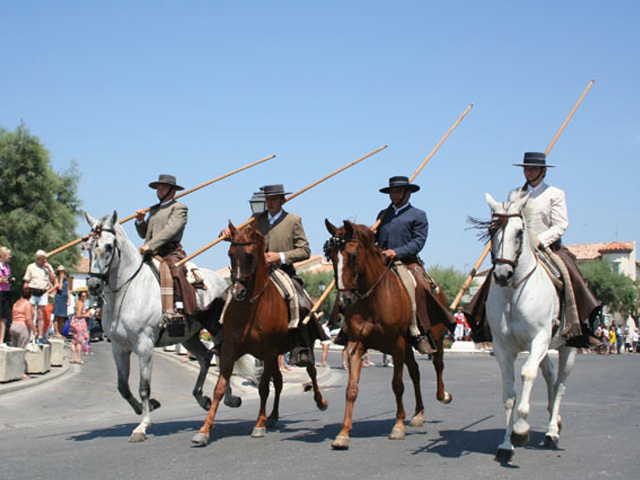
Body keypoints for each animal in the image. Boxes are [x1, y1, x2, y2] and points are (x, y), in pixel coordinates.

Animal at [86, 213, 241, 442]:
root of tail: (223, 282)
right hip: (189, 336)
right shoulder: (118, 347)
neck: (128, 291)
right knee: (205, 358)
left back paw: (229, 398)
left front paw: (142, 426)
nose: (93, 285)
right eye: (88, 246)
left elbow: (144, 387)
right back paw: (202, 397)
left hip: (217, 330)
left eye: (108, 246)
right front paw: (146, 407)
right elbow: (123, 386)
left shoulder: (144, 347)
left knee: (222, 359)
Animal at [192, 221, 328, 446]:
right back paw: (272, 416)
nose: (238, 291)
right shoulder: (230, 351)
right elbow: (220, 388)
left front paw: (258, 425)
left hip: (300, 346)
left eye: (250, 254)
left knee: (312, 372)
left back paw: (320, 401)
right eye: (230, 253)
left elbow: (263, 387)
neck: (251, 308)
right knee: (280, 382)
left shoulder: (268, 351)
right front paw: (204, 430)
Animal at [322, 221, 452, 450]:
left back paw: (443, 395)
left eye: (352, 255)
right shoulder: (356, 344)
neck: (372, 298)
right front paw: (343, 433)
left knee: (438, 364)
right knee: (416, 372)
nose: (344, 301)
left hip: (434, 338)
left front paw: (398, 426)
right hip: (408, 347)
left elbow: (397, 385)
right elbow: (351, 389)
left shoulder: (397, 344)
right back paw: (418, 413)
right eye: (331, 256)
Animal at [484, 193, 576, 464]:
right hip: (545, 349)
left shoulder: (539, 339)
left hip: (567, 347)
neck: (513, 294)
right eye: (491, 230)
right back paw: (553, 420)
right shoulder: (502, 347)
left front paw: (521, 429)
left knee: (561, 384)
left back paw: (552, 431)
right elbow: (509, 393)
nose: (502, 274)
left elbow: (527, 374)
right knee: (550, 375)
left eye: (520, 231)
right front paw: (506, 444)